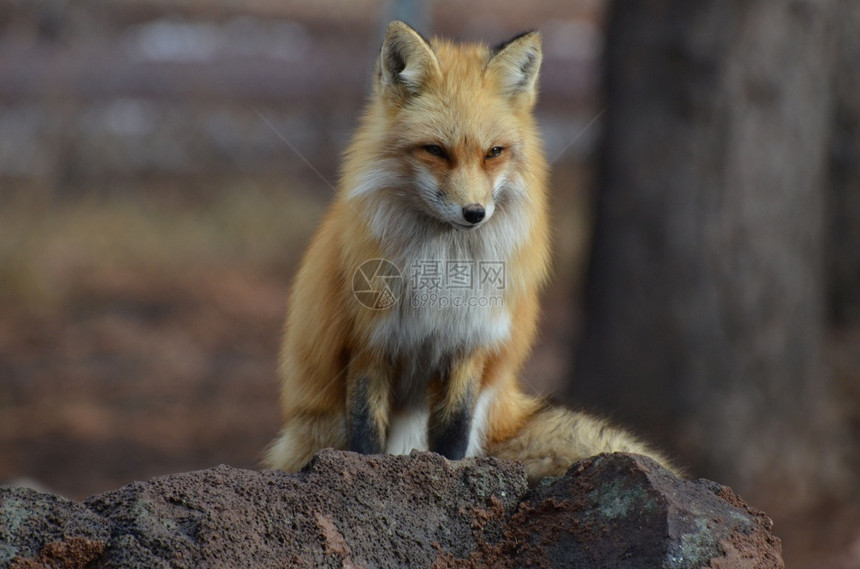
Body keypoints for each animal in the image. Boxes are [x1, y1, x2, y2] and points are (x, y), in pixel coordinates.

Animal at [262, 21, 672, 480]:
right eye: (435, 150)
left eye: (494, 152)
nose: (474, 213)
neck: (445, 264)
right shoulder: (369, 342)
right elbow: (366, 432)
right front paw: (362, 469)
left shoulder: (469, 340)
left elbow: (452, 433)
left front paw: (450, 472)